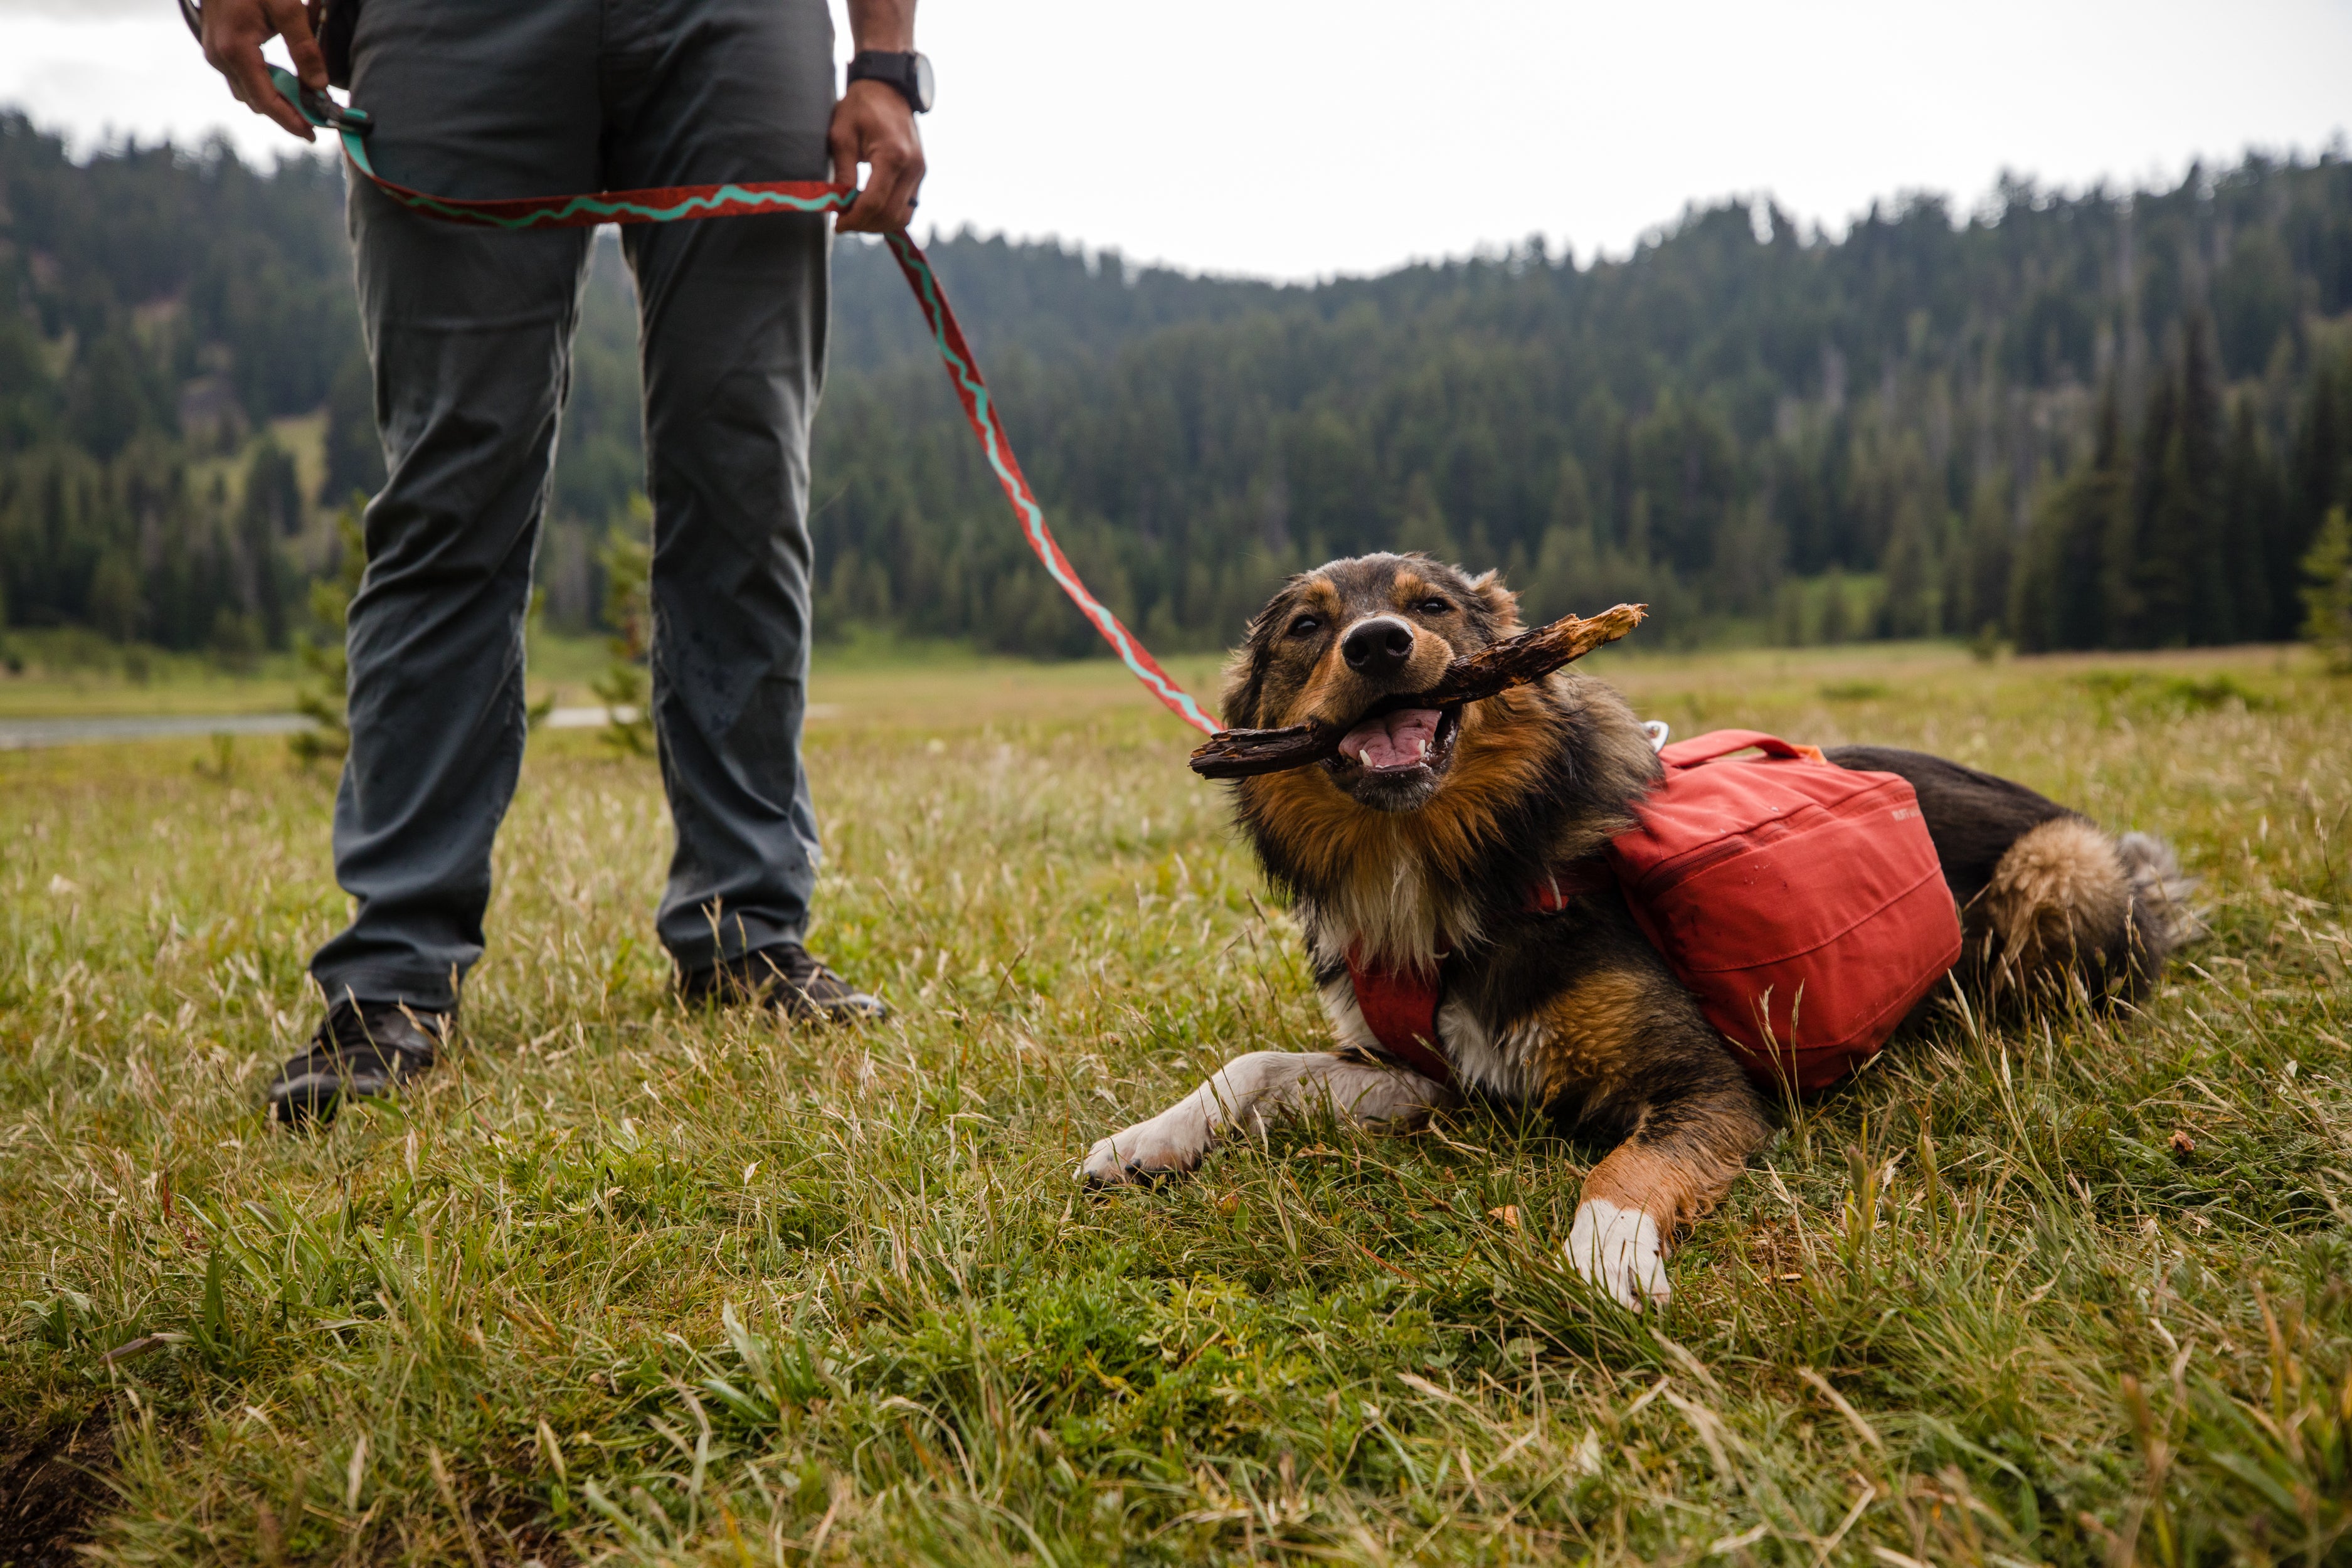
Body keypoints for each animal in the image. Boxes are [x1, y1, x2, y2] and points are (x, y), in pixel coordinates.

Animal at [1077, 552, 2192, 1316]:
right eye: (1308, 626)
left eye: (1429, 607)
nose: (1378, 645)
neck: (1437, 873)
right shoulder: (1427, 1075)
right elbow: (1253, 1066)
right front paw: (1145, 1140)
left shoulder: (1706, 1089)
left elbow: (1620, 1172)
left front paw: (1606, 1259)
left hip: (2056, 872)